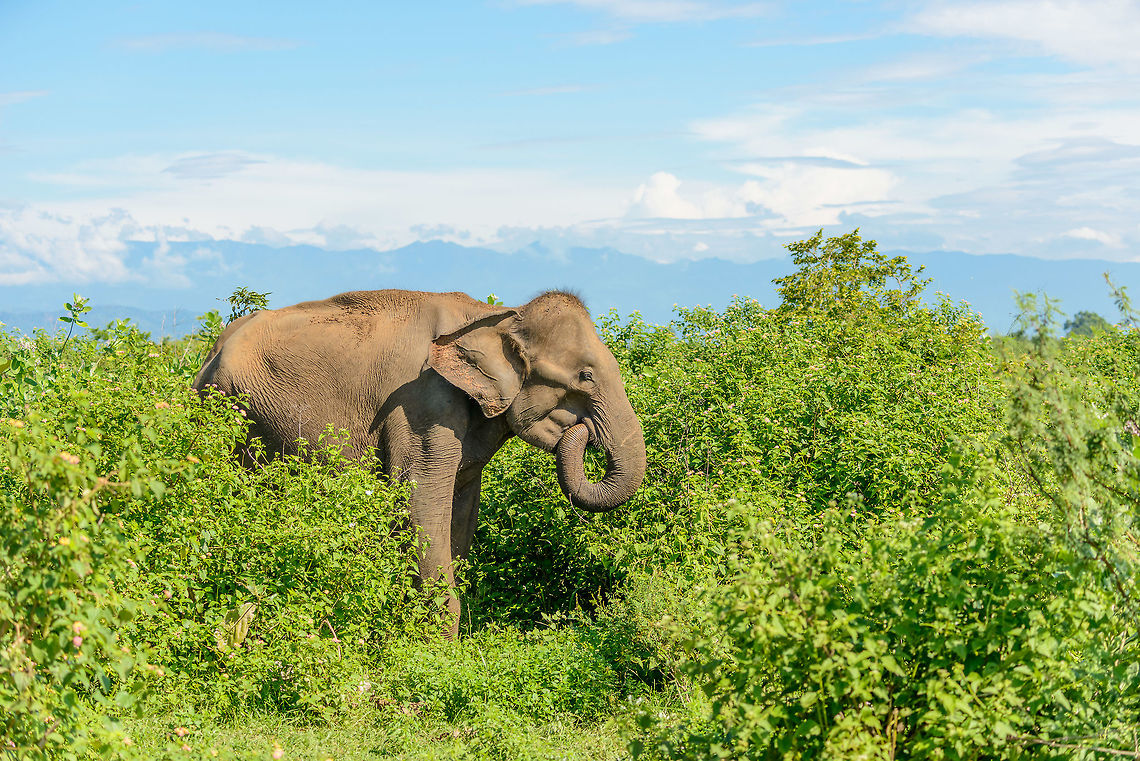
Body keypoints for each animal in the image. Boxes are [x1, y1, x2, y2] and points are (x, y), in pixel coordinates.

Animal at [192, 289, 646, 636]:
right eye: (585, 376)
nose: (584, 432)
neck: (495, 317)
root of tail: (207, 357)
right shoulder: (422, 405)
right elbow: (420, 508)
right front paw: (441, 650)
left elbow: (460, 515)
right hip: (236, 415)